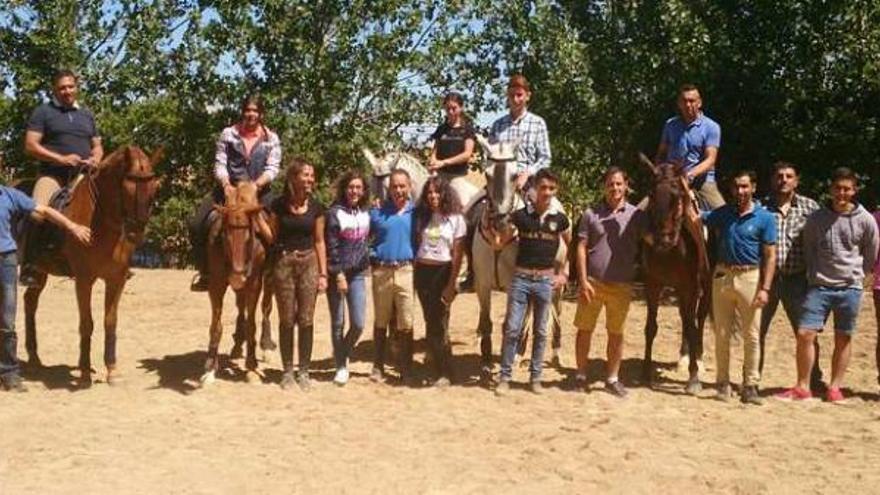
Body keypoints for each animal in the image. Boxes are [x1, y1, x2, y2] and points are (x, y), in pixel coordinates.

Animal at [24, 144, 163, 388]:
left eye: (154, 190)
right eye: (126, 189)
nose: (135, 234)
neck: (102, 221)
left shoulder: (116, 279)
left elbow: (110, 322)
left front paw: (112, 371)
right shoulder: (83, 279)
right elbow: (86, 323)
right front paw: (84, 373)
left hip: (40, 273)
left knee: (29, 303)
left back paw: (34, 360)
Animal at [200, 182, 276, 388]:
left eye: (250, 234)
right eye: (225, 234)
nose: (237, 277)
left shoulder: (254, 283)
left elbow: (252, 324)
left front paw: (251, 368)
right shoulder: (216, 283)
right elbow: (216, 326)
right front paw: (209, 369)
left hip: (268, 279)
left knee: (266, 309)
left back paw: (266, 346)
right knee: (241, 307)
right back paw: (236, 346)